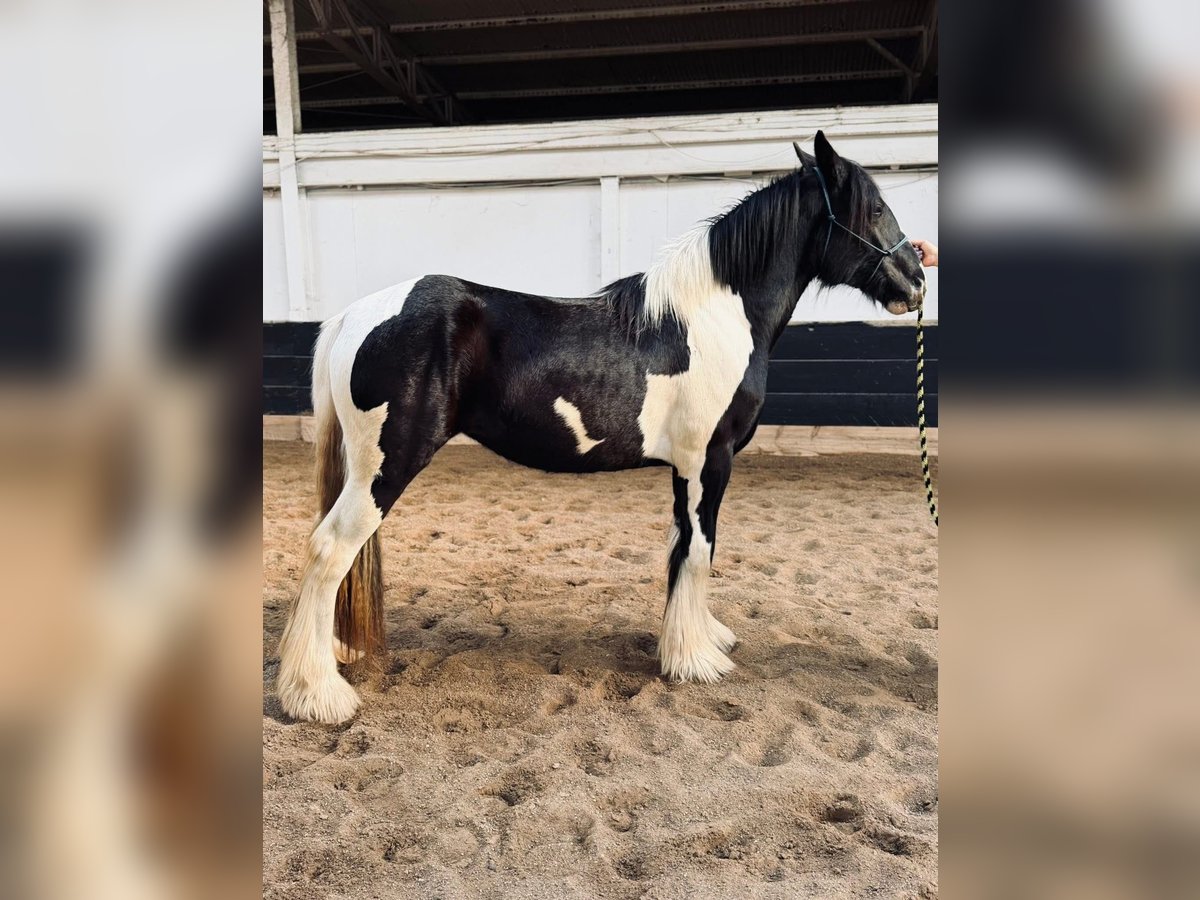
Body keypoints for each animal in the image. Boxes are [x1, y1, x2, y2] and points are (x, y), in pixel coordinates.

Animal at [276, 131, 927, 724]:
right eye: (873, 208)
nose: (917, 279)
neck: (715, 318)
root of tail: (354, 315)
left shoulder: (687, 469)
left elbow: (682, 549)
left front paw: (697, 640)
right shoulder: (709, 460)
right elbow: (700, 550)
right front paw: (696, 661)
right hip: (384, 469)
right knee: (329, 550)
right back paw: (318, 695)